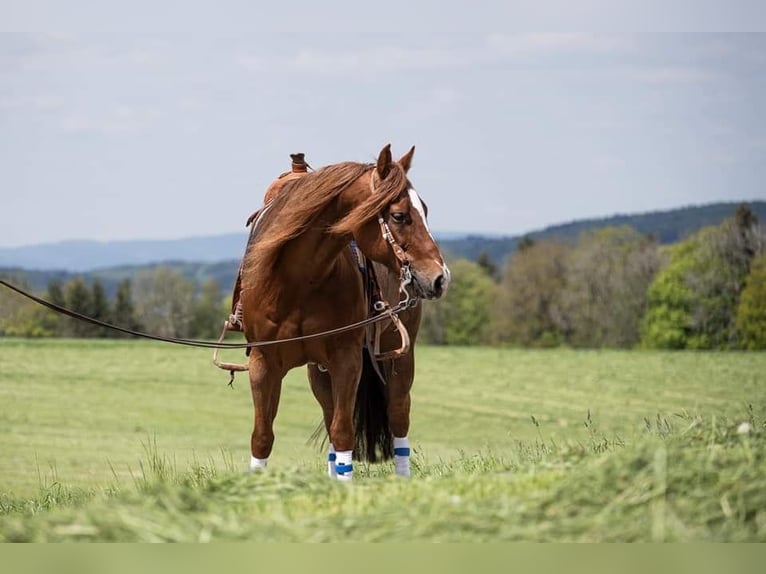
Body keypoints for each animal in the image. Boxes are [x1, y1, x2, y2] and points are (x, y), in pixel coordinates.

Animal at [239, 144, 450, 481]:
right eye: (399, 216)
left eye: (426, 211)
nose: (441, 278)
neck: (299, 279)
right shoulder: (263, 363)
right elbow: (262, 436)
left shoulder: (346, 360)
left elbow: (343, 432)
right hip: (318, 372)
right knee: (329, 415)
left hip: (400, 359)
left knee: (398, 417)